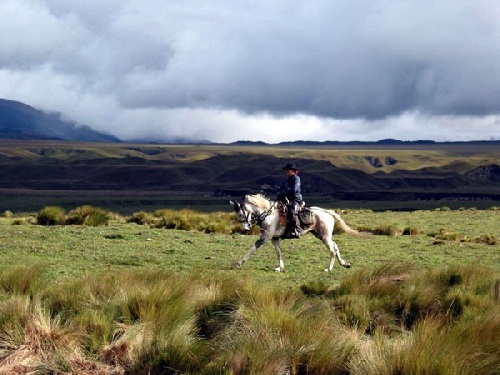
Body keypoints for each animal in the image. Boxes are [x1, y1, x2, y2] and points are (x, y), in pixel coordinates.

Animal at [229, 195, 364, 272]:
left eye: (240, 214)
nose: (245, 228)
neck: (268, 215)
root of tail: (327, 211)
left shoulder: (265, 237)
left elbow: (252, 249)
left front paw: (238, 263)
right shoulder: (274, 238)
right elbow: (278, 252)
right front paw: (280, 267)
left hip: (325, 236)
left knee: (332, 249)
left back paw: (328, 269)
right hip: (321, 235)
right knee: (335, 246)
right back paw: (344, 264)